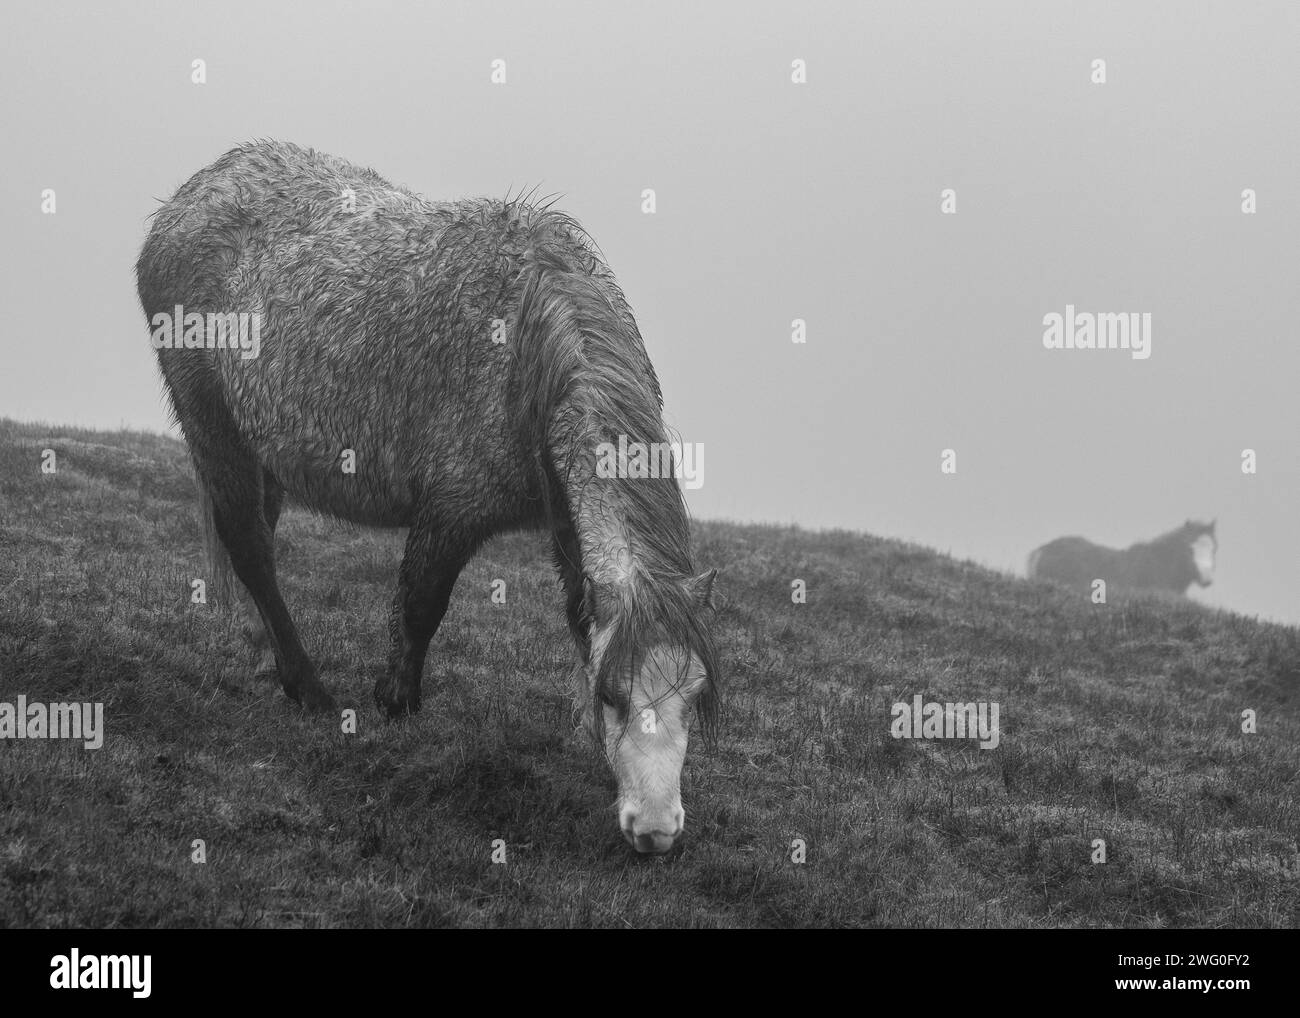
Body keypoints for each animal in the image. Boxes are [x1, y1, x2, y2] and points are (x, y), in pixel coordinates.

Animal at [135, 140, 720, 854]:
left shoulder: (564, 521)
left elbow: (579, 617)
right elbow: (421, 605)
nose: (657, 832)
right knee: (250, 550)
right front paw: (396, 703)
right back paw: (307, 688)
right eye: (614, 696)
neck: (530, 342)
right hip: (212, 427)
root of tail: (193, 193)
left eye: (694, 697)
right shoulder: (450, 510)